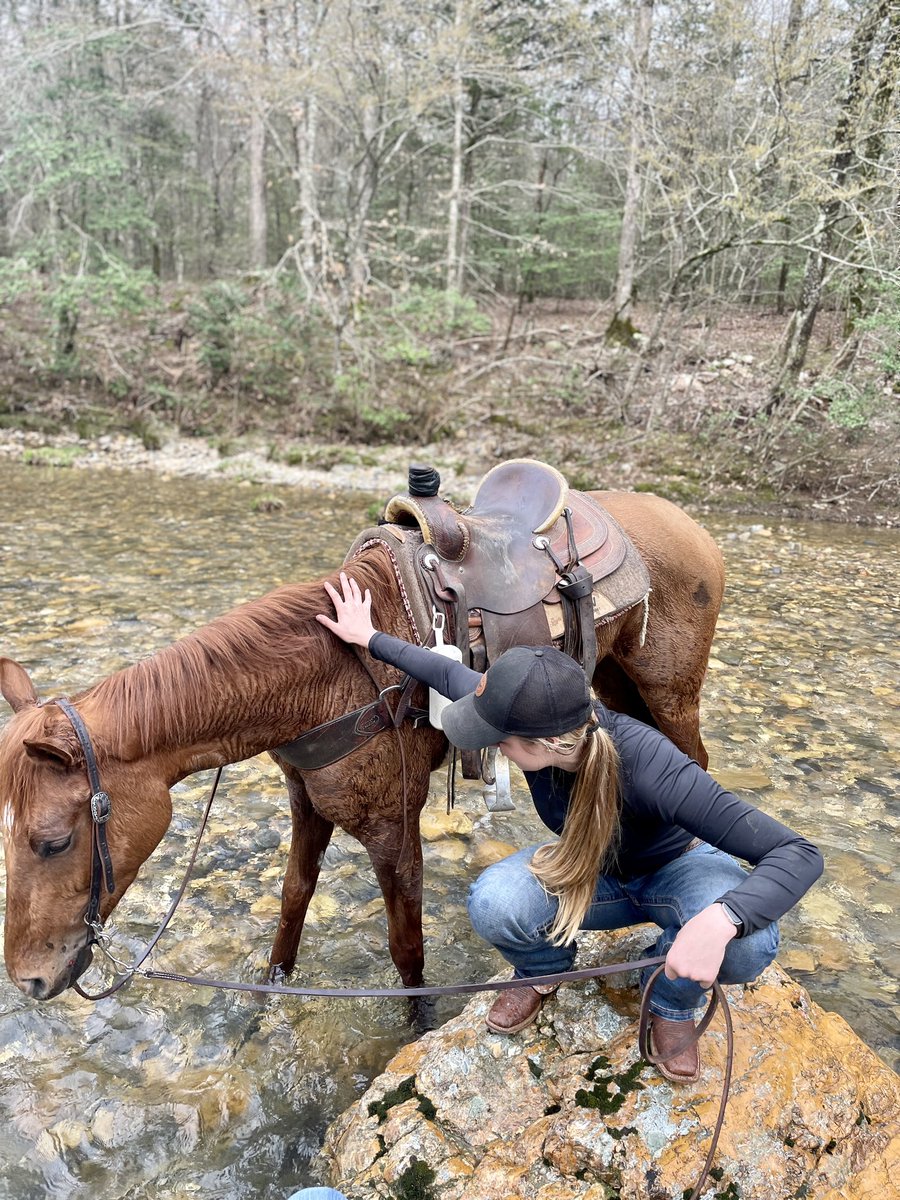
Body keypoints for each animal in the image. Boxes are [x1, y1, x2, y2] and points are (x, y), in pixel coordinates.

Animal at [0, 488, 724, 1004]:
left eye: (53, 842)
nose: (29, 981)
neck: (330, 677)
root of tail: (683, 521)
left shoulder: (392, 828)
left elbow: (407, 950)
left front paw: (415, 1024)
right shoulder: (307, 803)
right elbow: (292, 903)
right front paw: (268, 999)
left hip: (669, 689)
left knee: (696, 765)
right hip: (611, 677)